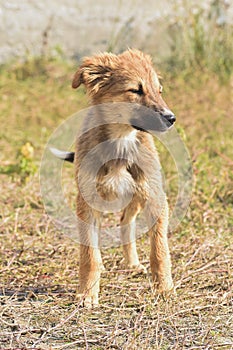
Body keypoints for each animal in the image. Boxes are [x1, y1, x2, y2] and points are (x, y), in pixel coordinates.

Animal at [55, 49, 175, 306]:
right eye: (136, 90)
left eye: (159, 90)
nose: (171, 118)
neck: (121, 140)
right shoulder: (87, 202)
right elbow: (90, 255)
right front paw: (87, 293)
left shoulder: (156, 199)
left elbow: (159, 250)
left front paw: (164, 288)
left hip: (138, 195)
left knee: (125, 223)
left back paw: (132, 264)